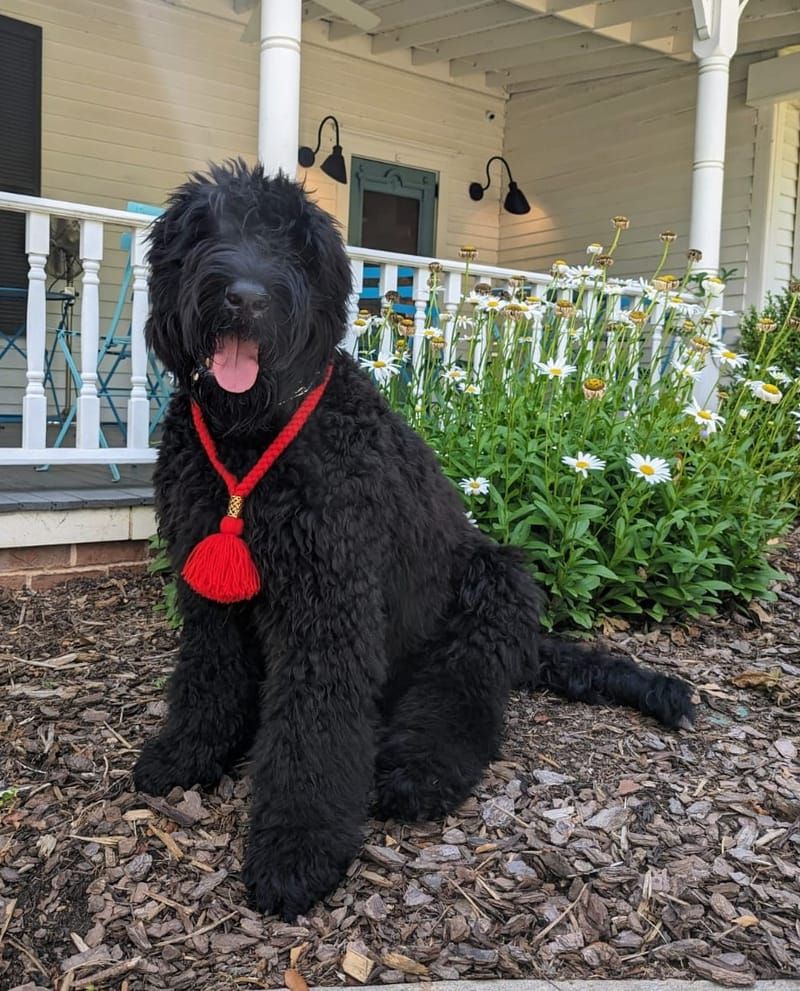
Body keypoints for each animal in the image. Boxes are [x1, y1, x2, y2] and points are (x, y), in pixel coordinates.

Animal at [133, 161, 692, 924]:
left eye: (291, 241)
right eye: (204, 227)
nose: (244, 297)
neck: (253, 437)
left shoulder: (329, 604)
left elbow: (314, 731)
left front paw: (298, 849)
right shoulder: (208, 592)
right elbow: (207, 676)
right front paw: (190, 753)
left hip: (485, 593)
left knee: (461, 706)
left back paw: (414, 771)